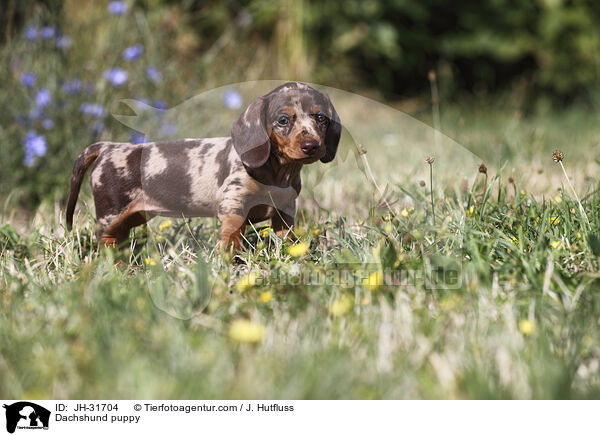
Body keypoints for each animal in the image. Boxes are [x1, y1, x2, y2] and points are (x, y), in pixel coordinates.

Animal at [66, 81, 340, 249]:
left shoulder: (285, 213)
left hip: (133, 216)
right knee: (106, 241)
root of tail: (107, 146)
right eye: (283, 120)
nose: (311, 146)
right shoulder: (233, 207)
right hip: (111, 213)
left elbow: (287, 241)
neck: (277, 172)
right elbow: (231, 242)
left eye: (321, 118)